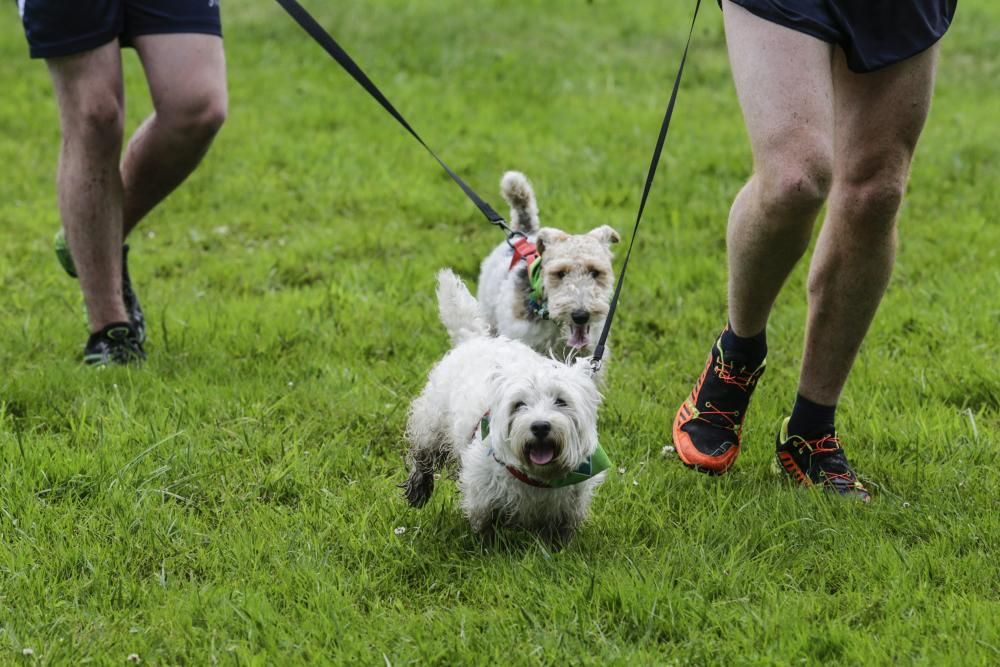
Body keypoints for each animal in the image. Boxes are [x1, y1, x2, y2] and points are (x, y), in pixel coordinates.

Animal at [400, 268, 604, 544]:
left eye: (561, 401)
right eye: (519, 405)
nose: (540, 427)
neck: (538, 478)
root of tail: (475, 338)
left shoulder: (569, 503)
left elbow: (562, 531)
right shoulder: (483, 492)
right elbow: (484, 522)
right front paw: (487, 546)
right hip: (432, 421)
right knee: (423, 453)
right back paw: (419, 487)